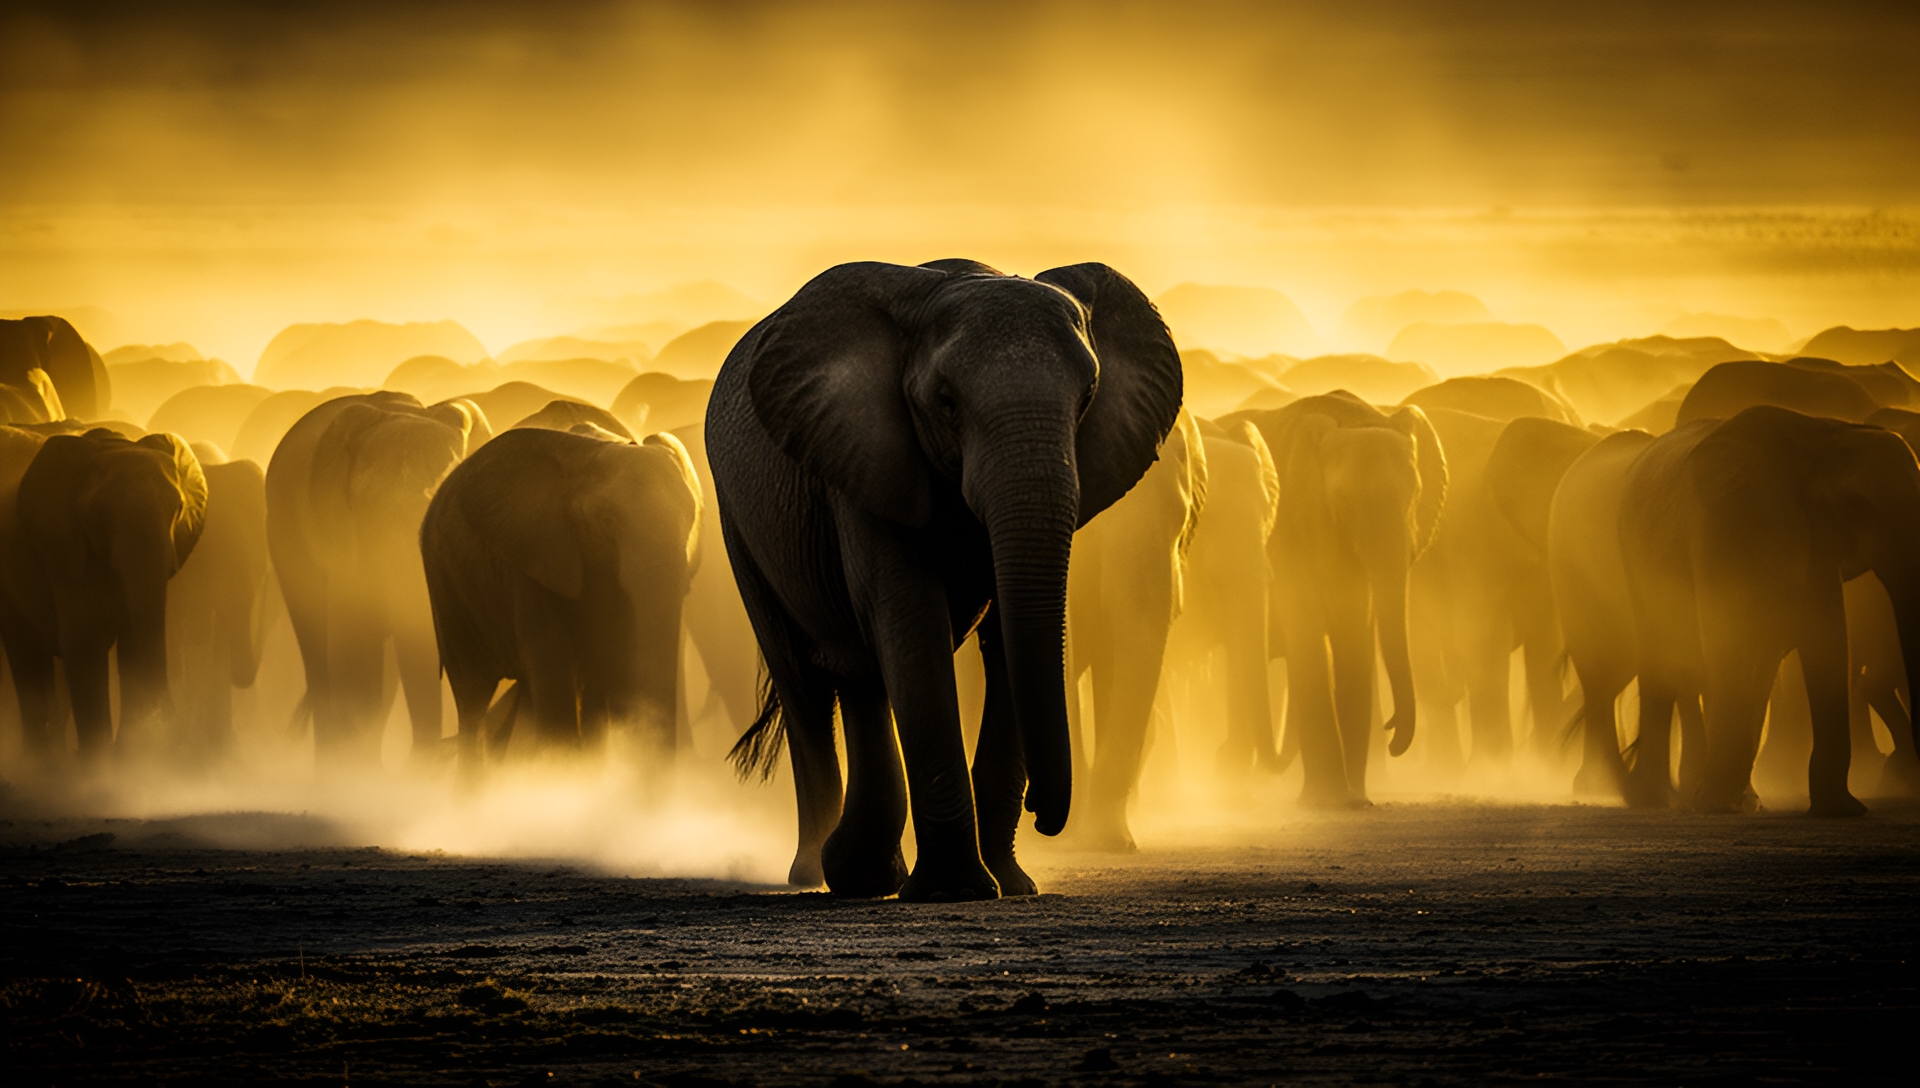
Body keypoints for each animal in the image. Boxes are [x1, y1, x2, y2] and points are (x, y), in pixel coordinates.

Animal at [0, 427, 206, 757]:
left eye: (177, 509)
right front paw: (99, 763)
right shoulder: (65, 555)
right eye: (97, 516)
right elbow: (84, 645)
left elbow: (131, 643)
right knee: (25, 656)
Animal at [707, 259, 1181, 900]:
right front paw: (956, 889)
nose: (1044, 814)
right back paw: (817, 875)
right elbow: (911, 619)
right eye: (947, 402)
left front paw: (1012, 885)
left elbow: (1005, 634)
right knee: (805, 683)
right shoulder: (864, 460)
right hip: (739, 523)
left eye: (1087, 398)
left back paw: (863, 872)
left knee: (860, 675)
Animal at [1229, 391, 1447, 806]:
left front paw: (1356, 802)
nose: (1392, 730)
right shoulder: (1295, 526)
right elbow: (1310, 636)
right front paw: (1325, 803)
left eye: (1414, 496)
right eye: (1342, 503)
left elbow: (1354, 631)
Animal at [1617, 407, 1920, 815]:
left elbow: (1826, 636)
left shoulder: (1816, 541)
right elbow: (1728, 639)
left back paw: (1743, 799)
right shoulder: (1720, 524)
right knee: (1661, 664)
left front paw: (1841, 811)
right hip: (1635, 561)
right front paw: (1715, 805)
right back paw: (1657, 800)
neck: (1828, 436)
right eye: (1859, 507)